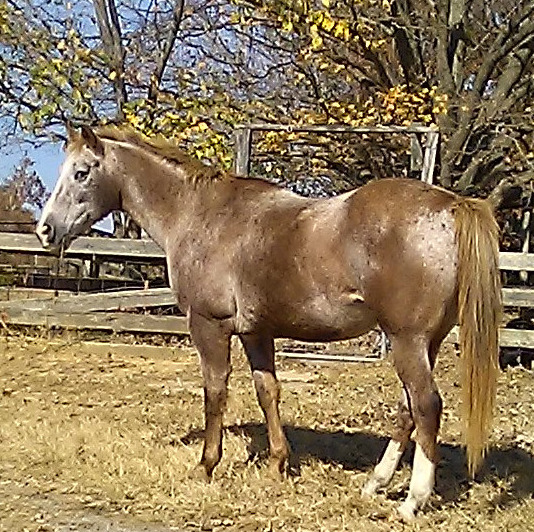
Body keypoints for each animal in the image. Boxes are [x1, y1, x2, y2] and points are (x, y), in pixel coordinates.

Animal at [35, 124, 504, 520]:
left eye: (80, 173)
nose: (45, 230)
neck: (199, 215)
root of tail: (452, 205)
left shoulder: (210, 326)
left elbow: (215, 393)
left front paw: (206, 465)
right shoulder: (256, 332)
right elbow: (268, 393)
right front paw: (279, 463)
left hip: (407, 342)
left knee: (425, 406)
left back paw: (412, 502)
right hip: (426, 343)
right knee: (408, 411)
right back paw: (376, 483)